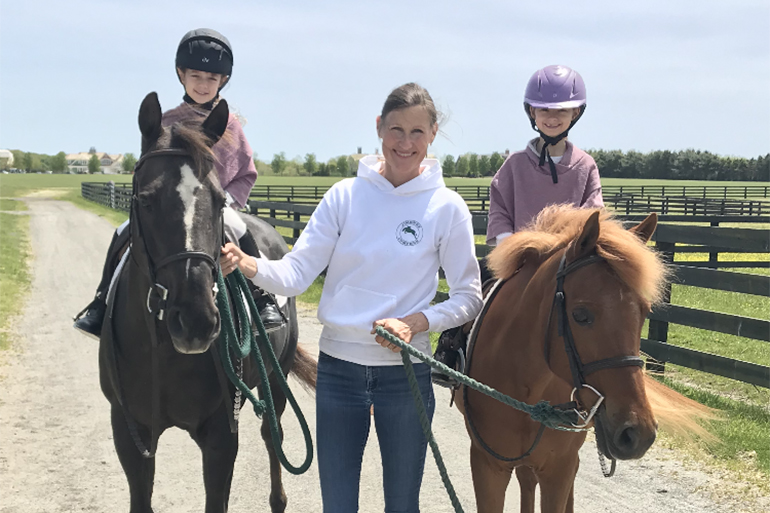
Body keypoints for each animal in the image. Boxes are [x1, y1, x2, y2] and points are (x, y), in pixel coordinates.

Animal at [99, 93, 316, 512]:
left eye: (218, 202)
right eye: (146, 201)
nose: (196, 321)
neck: (163, 353)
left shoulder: (220, 436)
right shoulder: (129, 433)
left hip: (276, 380)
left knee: (273, 435)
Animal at [452, 205, 712, 512]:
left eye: (644, 312)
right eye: (581, 315)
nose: (637, 433)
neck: (527, 389)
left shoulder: (558, 469)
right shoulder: (487, 465)